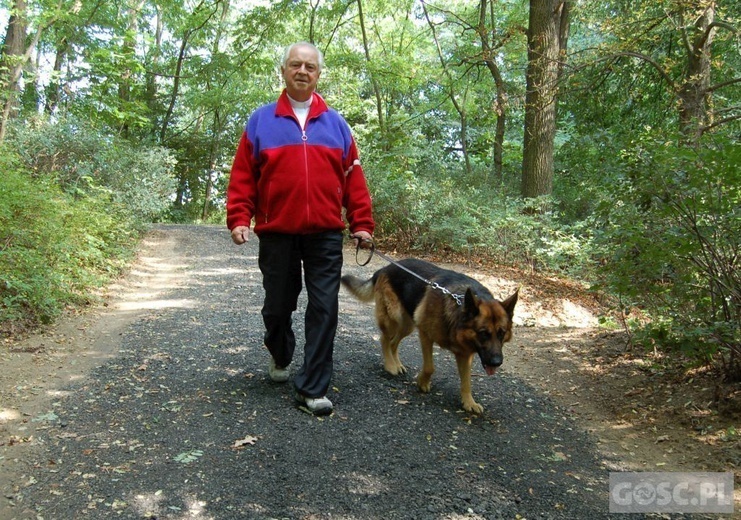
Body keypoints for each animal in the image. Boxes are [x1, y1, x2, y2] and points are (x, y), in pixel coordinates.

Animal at [340, 260, 516, 414]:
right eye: (483, 333)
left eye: (501, 333)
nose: (497, 363)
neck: (457, 308)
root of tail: (385, 268)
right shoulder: (425, 334)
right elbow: (430, 367)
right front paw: (422, 382)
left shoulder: (465, 354)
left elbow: (467, 381)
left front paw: (469, 402)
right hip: (395, 317)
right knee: (385, 339)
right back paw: (390, 365)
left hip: (407, 325)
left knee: (393, 343)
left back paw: (397, 364)